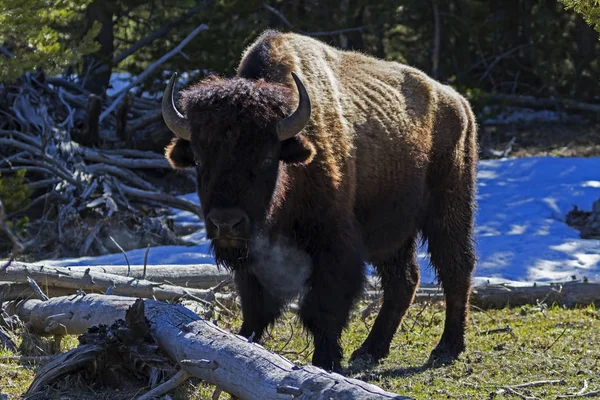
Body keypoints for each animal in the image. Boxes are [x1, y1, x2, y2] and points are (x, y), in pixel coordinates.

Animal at [161, 30, 478, 372]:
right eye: (199, 159)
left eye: (266, 158)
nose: (226, 223)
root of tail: (459, 103)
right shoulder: (255, 256)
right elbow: (256, 304)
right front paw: (243, 343)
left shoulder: (334, 244)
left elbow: (322, 308)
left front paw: (326, 362)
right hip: (393, 233)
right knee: (404, 280)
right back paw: (370, 350)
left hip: (449, 210)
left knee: (455, 268)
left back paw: (446, 348)